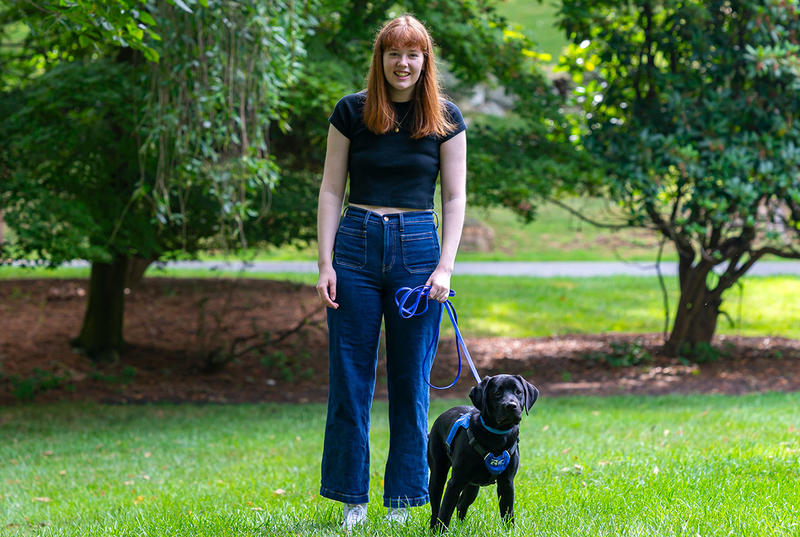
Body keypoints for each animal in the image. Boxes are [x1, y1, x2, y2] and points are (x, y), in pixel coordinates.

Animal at [428, 374, 536, 528]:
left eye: (518, 392)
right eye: (497, 393)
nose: (511, 405)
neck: (497, 436)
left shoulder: (507, 483)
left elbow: (508, 514)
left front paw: (509, 531)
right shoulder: (455, 482)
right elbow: (444, 514)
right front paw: (439, 531)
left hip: (472, 486)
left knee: (461, 504)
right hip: (438, 474)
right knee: (436, 508)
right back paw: (433, 528)